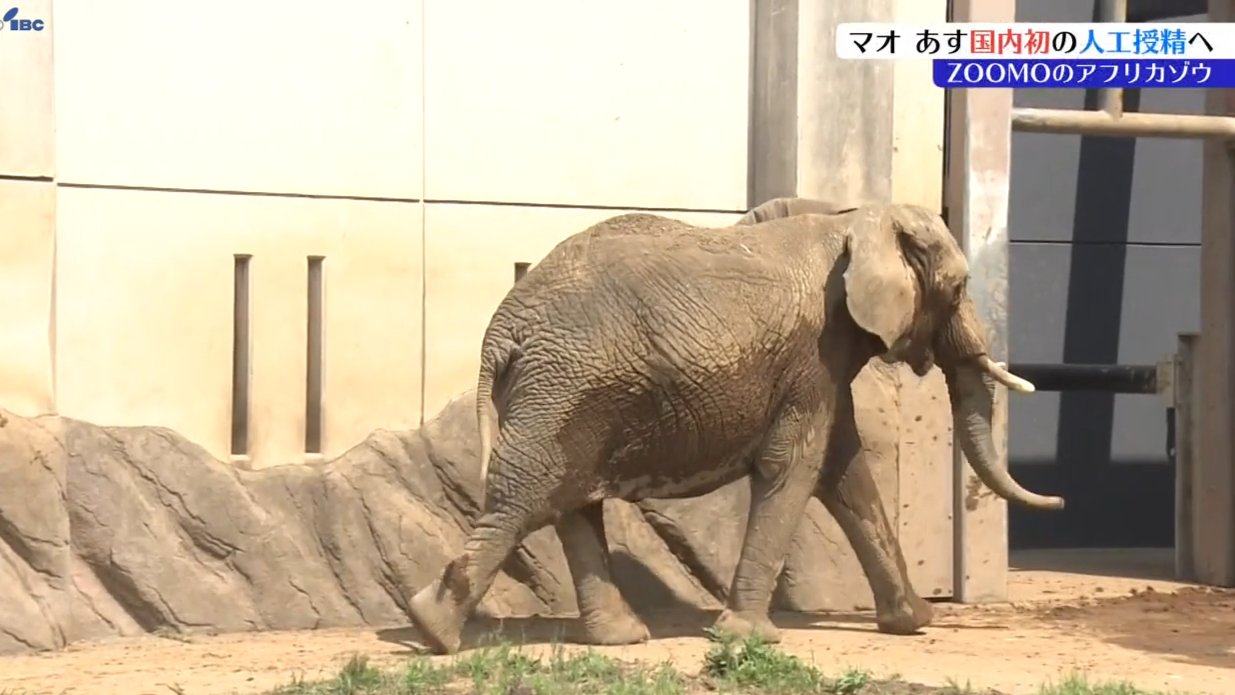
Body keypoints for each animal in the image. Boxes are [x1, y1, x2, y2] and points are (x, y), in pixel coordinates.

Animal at [406, 200, 1064, 655]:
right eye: (959, 288)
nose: (1060, 501)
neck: (854, 217)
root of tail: (500, 332)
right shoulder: (813, 354)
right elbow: (794, 468)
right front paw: (747, 639)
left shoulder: (823, 365)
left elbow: (844, 472)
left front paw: (913, 625)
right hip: (564, 387)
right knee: (525, 500)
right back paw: (435, 632)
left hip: (568, 393)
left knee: (568, 501)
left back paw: (616, 639)